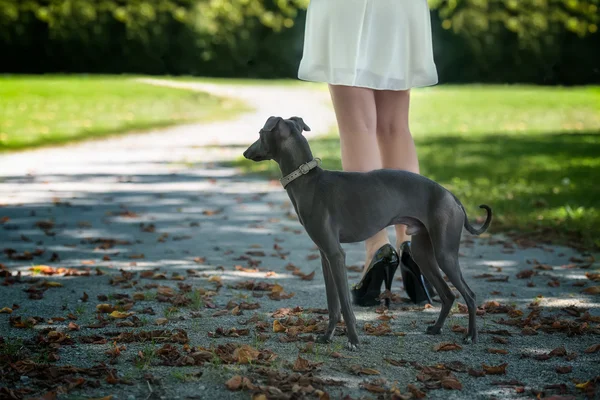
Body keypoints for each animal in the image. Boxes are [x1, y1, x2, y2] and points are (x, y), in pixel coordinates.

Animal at [244, 115, 492, 350]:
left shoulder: (336, 254)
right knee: (448, 294)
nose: (246, 152)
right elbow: (332, 303)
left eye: (260, 133)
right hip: (424, 253)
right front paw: (327, 336)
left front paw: (353, 340)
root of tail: (453, 197)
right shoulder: (325, 255)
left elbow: (345, 304)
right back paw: (436, 328)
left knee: (469, 295)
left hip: (444, 252)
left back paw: (471, 336)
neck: (308, 181)